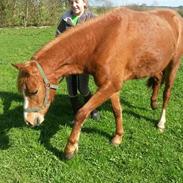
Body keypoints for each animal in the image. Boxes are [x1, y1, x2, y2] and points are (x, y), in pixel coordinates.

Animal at [12, 8, 183, 159]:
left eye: (34, 91)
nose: (29, 121)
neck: (101, 41)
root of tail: (176, 16)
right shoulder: (112, 86)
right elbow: (117, 111)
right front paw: (118, 136)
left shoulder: (111, 85)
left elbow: (82, 112)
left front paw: (70, 148)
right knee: (157, 79)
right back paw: (153, 103)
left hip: (174, 64)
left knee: (167, 92)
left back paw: (161, 122)